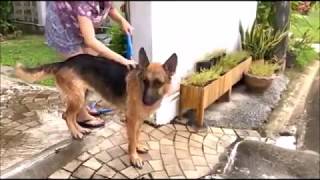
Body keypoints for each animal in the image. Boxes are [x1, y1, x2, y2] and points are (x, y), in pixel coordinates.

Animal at [15, 47, 178, 167]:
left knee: (72, 116)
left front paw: (138, 148)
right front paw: (133, 157)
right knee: (67, 115)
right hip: (78, 98)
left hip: (83, 96)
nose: (145, 101)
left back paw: (81, 129)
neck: (139, 88)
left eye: (158, 83)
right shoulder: (131, 120)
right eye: (144, 81)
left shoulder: (139, 120)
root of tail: (64, 62)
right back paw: (76, 133)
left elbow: (136, 136)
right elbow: (131, 140)